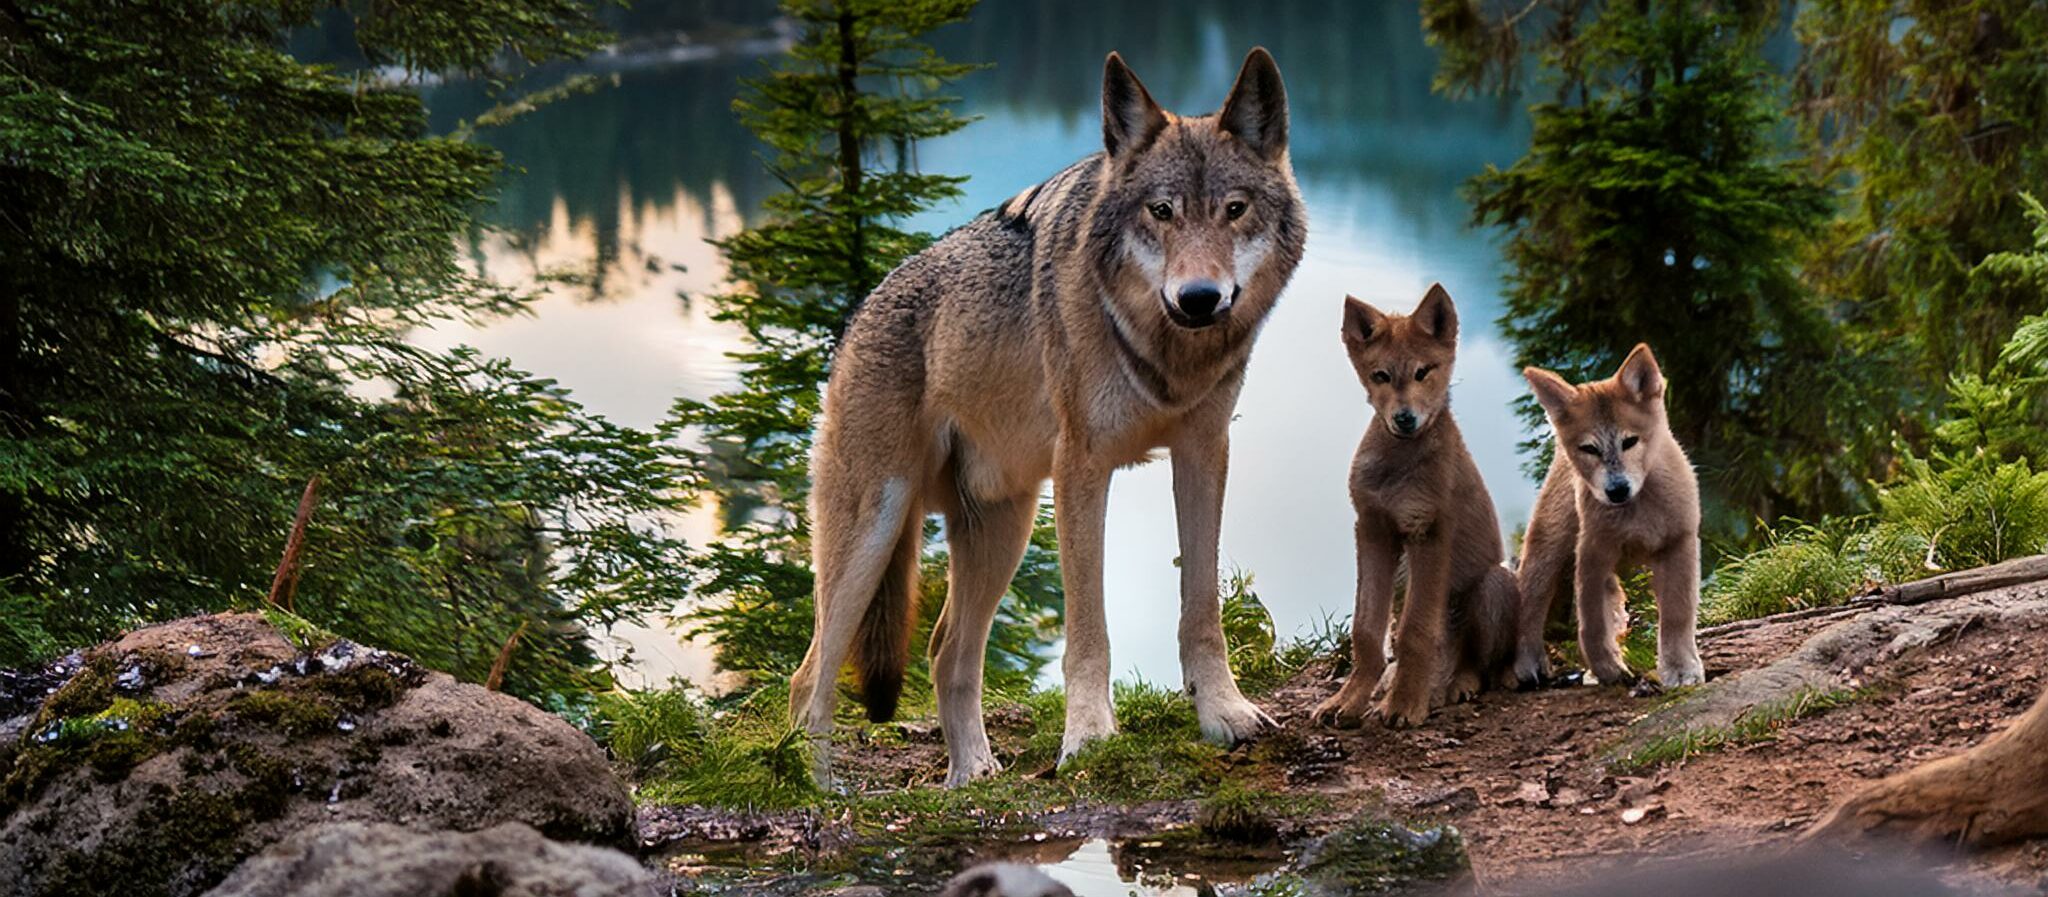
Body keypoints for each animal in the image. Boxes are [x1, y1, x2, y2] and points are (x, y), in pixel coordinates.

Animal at [790, 49, 1302, 786]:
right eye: (1161, 211)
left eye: (1235, 210)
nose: (1200, 297)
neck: (1164, 354)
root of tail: (858, 315)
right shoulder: (1082, 467)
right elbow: (1088, 629)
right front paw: (1088, 739)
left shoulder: (1204, 451)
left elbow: (1202, 607)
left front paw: (1224, 714)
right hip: (873, 528)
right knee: (810, 676)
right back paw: (824, 787)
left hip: (1004, 525)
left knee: (945, 652)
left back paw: (972, 776)